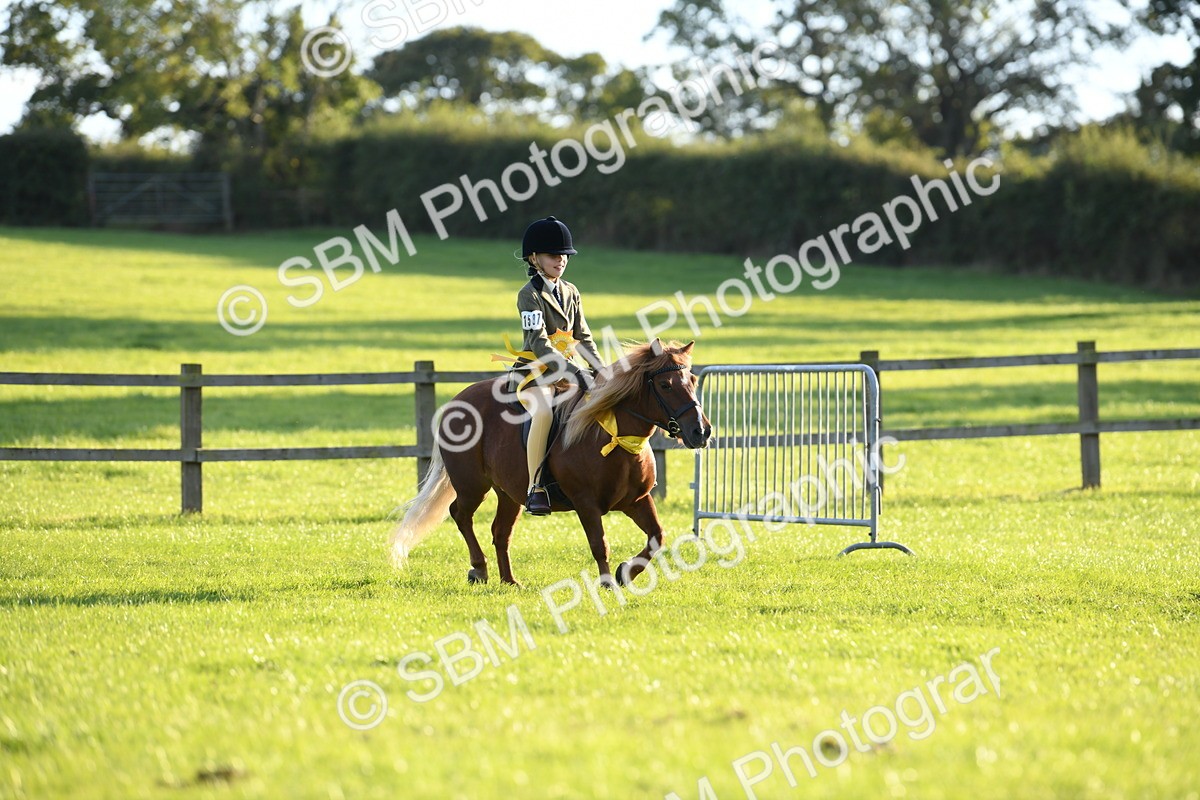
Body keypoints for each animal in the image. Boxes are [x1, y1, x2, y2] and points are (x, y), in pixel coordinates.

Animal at [388, 340, 712, 586]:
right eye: (665, 384)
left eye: (693, 380)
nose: (701, 431)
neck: (613, 437)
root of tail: (457, 401)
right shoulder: (585, 503)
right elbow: (600, 544)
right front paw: (608, 582)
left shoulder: (637, 500)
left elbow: (657, 536)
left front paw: (625, 573)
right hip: (471, 485)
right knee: (460, 514)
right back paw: (479, 569)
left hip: (508, 494)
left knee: (500, 531)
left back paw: (509, 581)